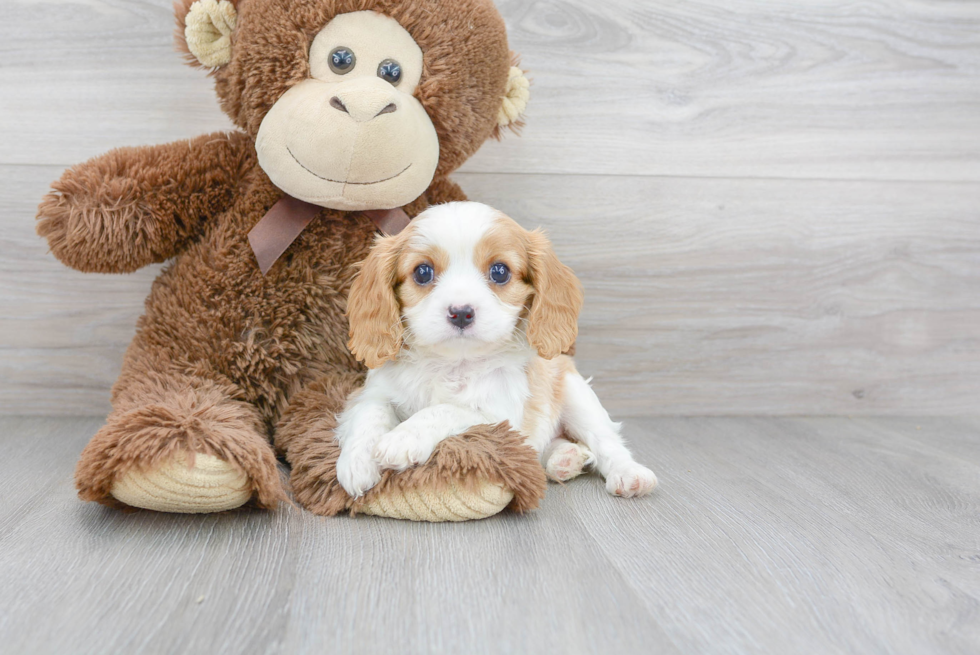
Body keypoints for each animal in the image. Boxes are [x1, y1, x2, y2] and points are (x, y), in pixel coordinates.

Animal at [334, 202, 656, 500]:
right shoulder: (373, 391)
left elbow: (445, 410)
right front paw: (357, 461)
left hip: (577, 395)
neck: (453, 362)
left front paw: (402, 438)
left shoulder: (499, 416)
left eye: (499, 272)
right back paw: (565, 459)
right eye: (423, 272)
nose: (461, 312)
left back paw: (629, 474)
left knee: (605, 440)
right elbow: (370, 412)